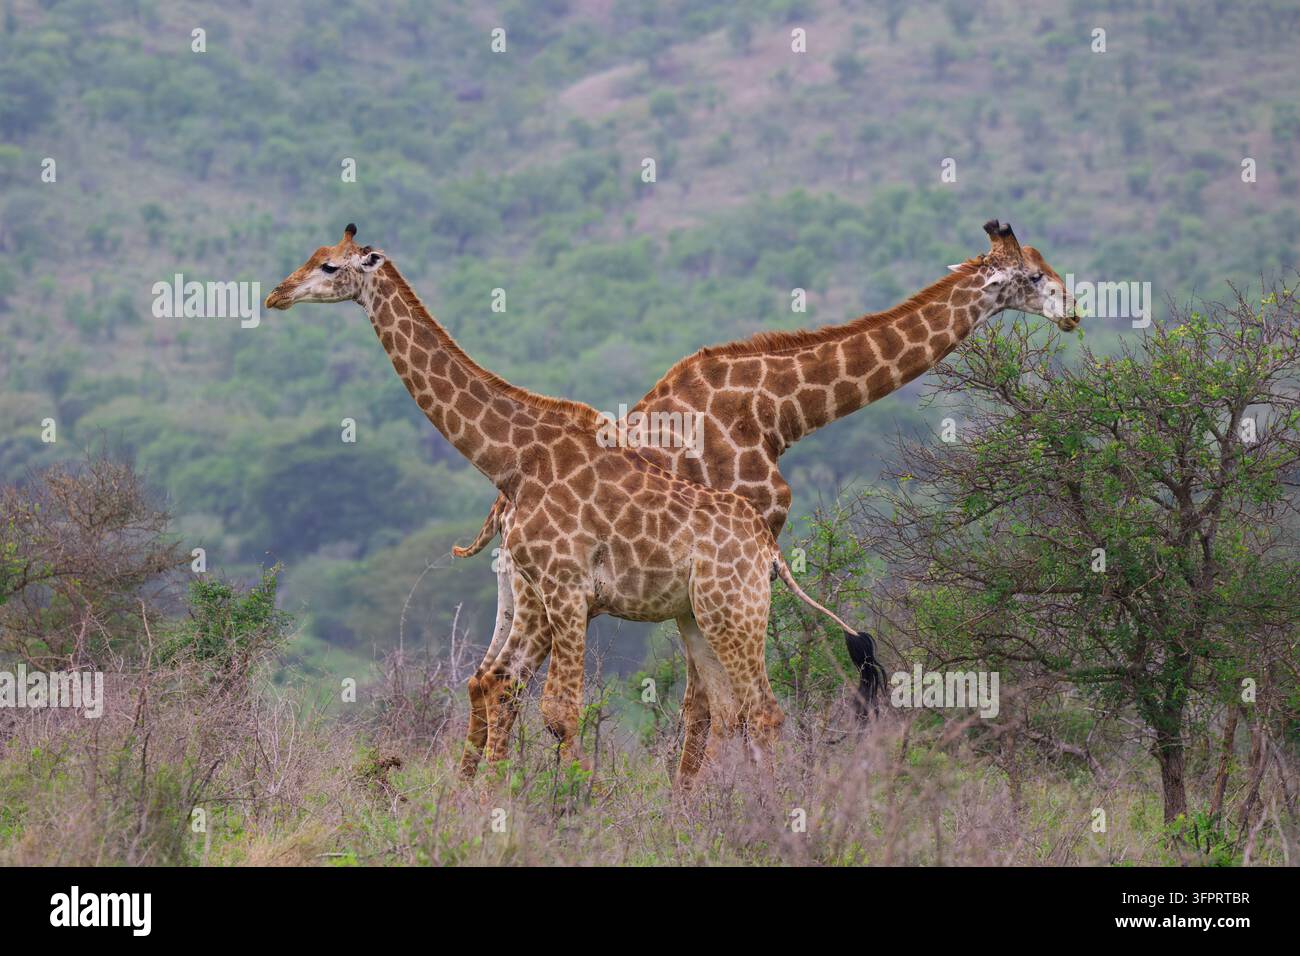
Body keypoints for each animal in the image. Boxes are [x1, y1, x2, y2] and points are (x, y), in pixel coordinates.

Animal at [263, 225, 864, 783]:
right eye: (314, 256)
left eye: (329, 265)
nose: (275, 294)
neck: (514, 458)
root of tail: (769, 549)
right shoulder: (551, 588)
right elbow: (535, 701)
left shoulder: (566, 586)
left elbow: (559, 710)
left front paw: (570, 802)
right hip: (698, 617)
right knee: (729, 709)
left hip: (733, 614)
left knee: (762, 712)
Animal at [456, 220, 1080, 778]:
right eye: (1032, 275)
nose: (1074, 309)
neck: (778, 410)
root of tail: (501, 509)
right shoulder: (740, 550)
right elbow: (709, 706)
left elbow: (708, 703)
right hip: (555, 589)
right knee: (506, 682)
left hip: (516, 588)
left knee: (485, 678)